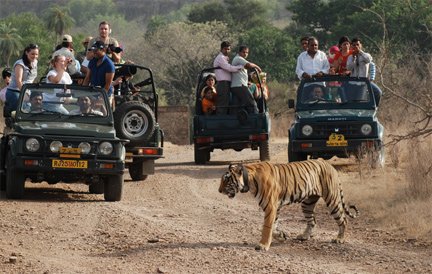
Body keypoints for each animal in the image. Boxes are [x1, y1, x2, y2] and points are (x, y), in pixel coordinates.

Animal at [219, 158, 358, 250]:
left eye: (226, 179)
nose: (219, 191)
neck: (249, 180)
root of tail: (329, 165)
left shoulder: (271, 206)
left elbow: (267, 227)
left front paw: (263, 245)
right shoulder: (275, 207)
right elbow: (274, 226)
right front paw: (282, 235)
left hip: (332, 199)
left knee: (343, 219)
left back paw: (339, 239)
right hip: (307, 203)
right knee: (312, 221)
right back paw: (304, 236)